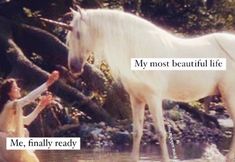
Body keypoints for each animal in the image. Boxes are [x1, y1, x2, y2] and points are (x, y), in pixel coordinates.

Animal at [50, 7, 234, 162]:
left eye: (78, 34)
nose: (73, 67)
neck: (140, 49)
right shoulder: (136, 99)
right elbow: (137, 132)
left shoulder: (153, 98)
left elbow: (161, 133)